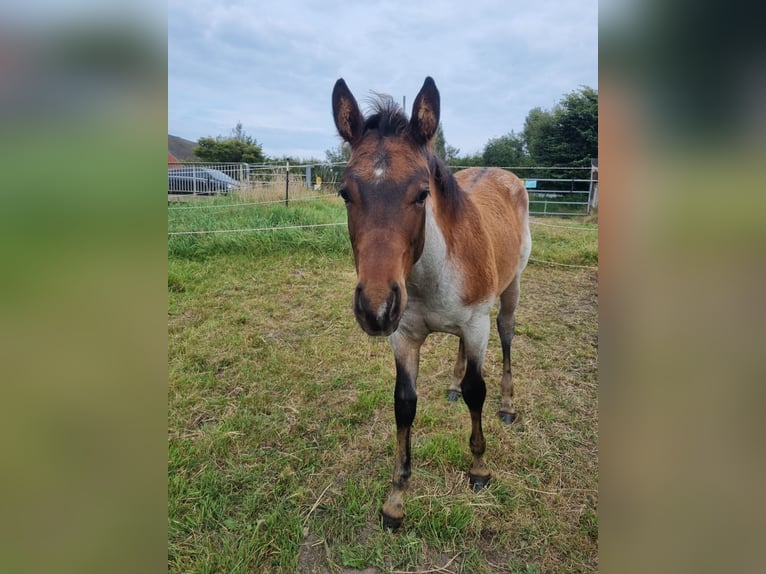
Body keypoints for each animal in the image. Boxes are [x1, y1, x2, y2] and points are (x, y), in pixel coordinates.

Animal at [331, 76, 531, 531]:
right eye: (345, 193)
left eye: (422, 193)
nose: (375, 307)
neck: (430, 276)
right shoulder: (404, 335)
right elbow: (404, 403)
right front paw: (396, 499)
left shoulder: (476, 324)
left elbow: (478, 390)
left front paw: (479, 469)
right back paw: (453, 386)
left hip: (509, 291)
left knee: (507, 336)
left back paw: (508, 405)